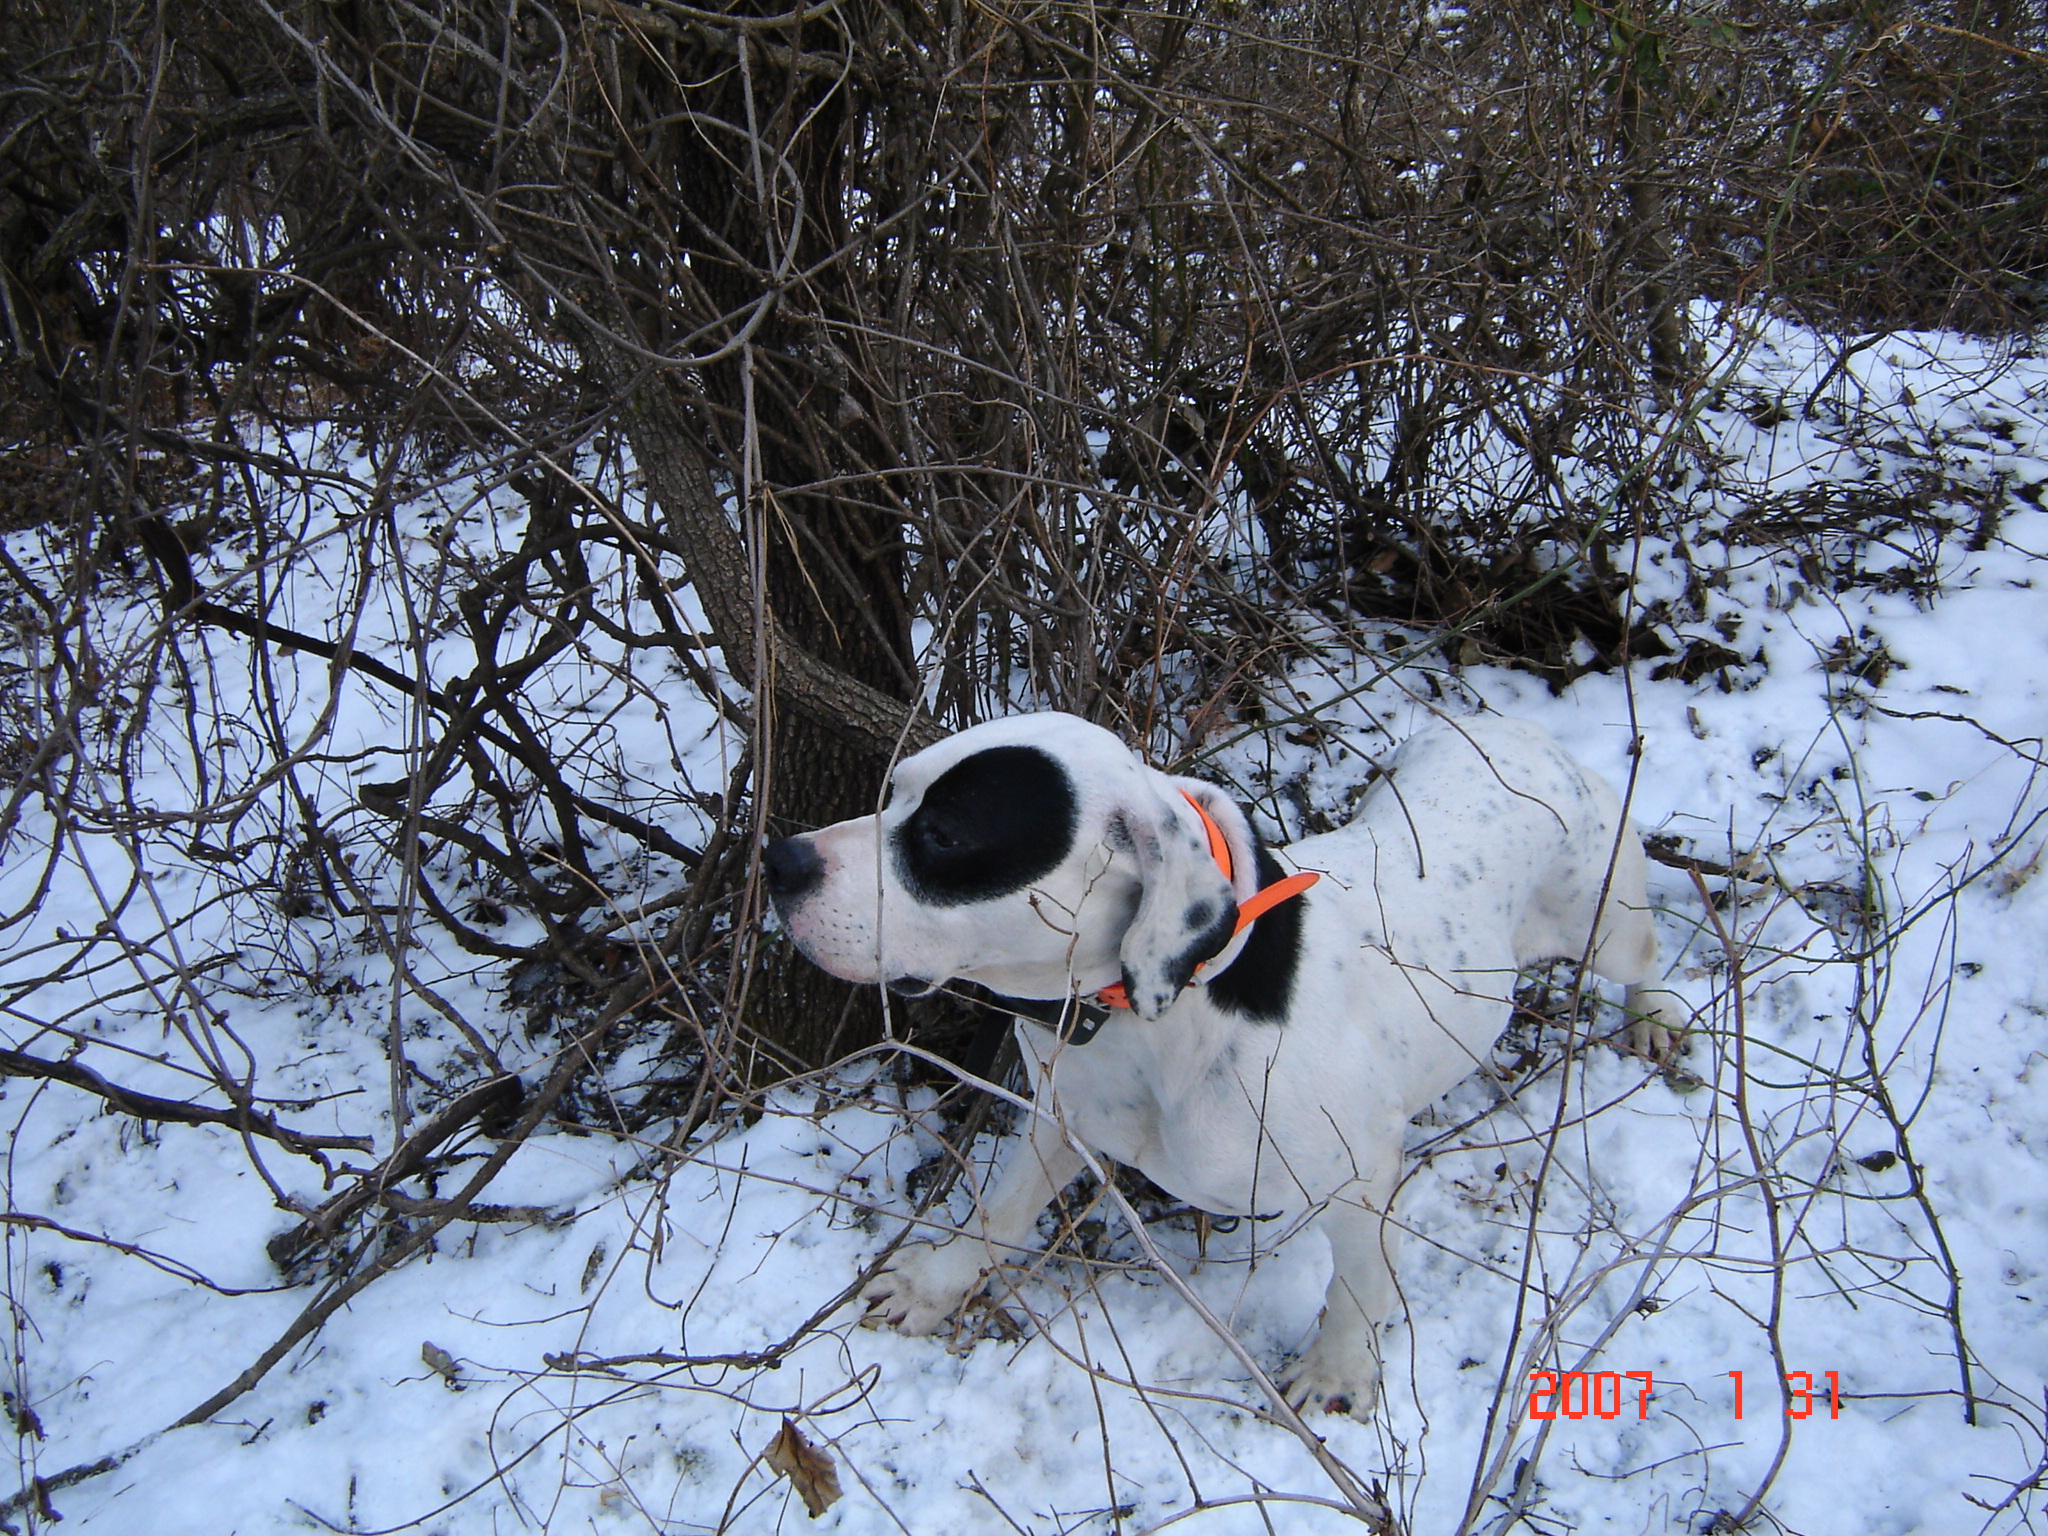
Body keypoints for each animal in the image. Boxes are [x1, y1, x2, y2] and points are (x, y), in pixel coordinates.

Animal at [764, 711, 1679, 1418]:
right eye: (893, 795)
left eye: (945, 834)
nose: (782, 860)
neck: (1157, 1018)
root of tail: (1521, 730)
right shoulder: (1066, 1117)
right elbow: (997, 1212)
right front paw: (938, 1283)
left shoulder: (1359, 1179)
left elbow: (1357, 1283)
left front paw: (1339, 1371)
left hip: (1606, 917)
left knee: (1644, 957)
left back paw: (1657, 1017)